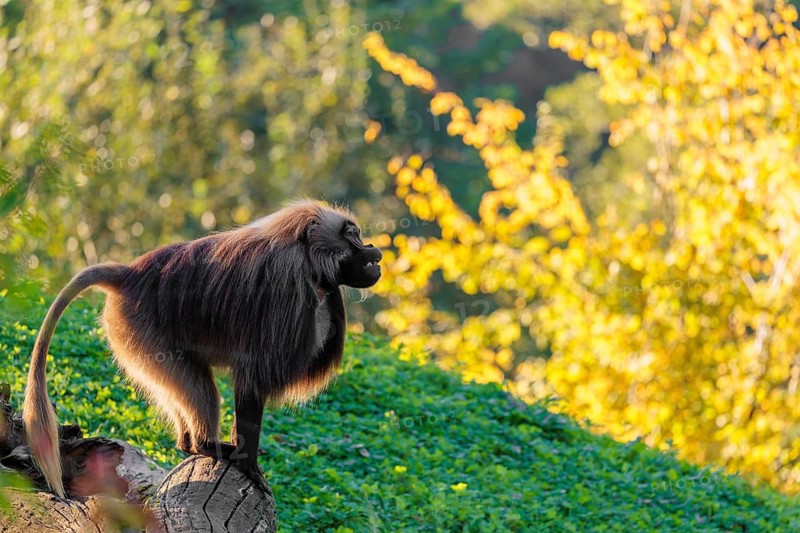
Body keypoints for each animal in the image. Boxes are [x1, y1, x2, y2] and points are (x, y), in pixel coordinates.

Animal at [22, 200, 382, 497]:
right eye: (352, 235)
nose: (374, 251)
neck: (308, 260)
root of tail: (129, 274)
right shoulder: (286, 290)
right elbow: (251, 380)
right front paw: (249, 465)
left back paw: (191, 444)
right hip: (142, 333)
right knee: (199, 387)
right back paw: (209, 446)